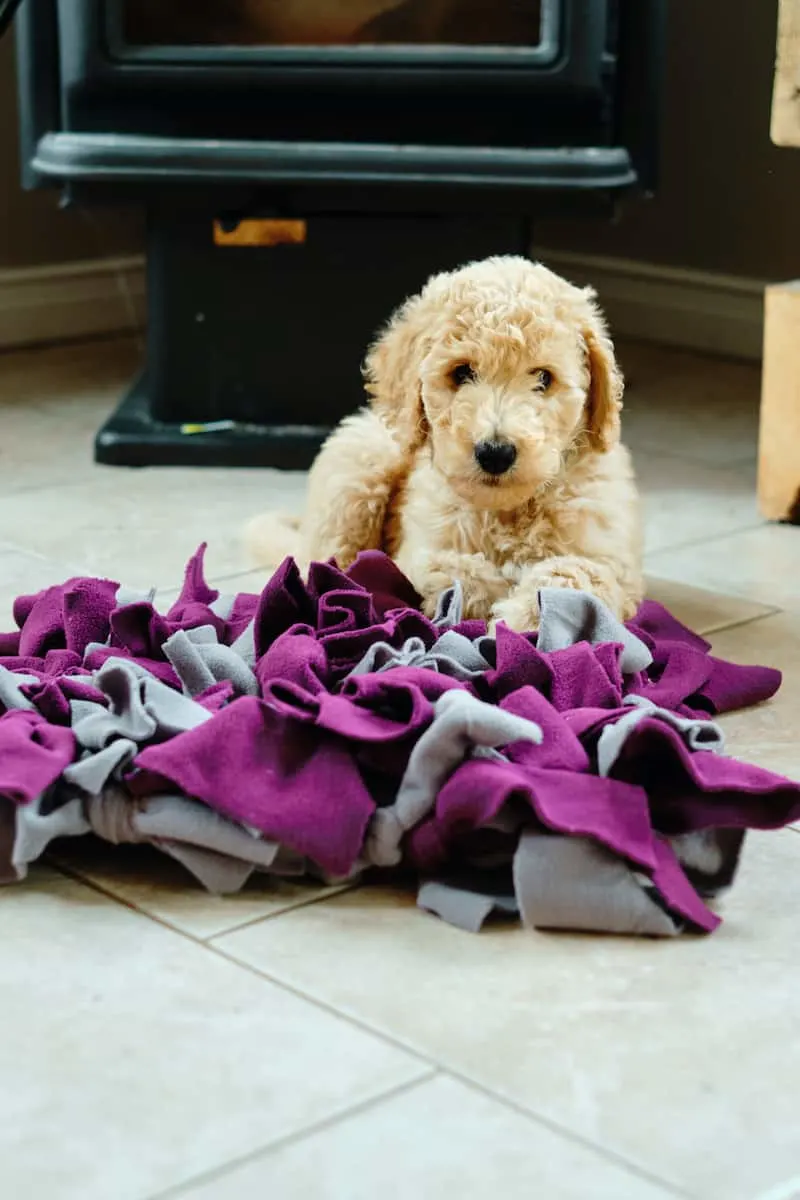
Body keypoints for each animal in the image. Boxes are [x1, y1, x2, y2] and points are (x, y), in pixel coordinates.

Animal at [247, 253, 647, 628]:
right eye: (462, 372)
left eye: (544, 378)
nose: (495, 453)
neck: (507, 512)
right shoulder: (418, 547)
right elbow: (450, 570)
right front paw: (491, 602)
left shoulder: (611, 560)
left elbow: (573, 577)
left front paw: (523, 617)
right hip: (360, 471)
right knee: (327, 561)